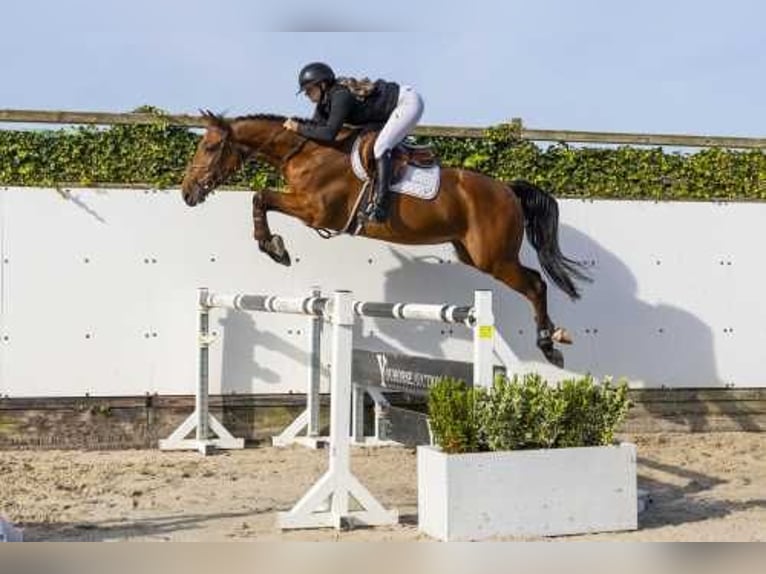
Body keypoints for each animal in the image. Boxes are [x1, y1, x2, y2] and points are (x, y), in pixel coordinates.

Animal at [183, 110, 592, 366]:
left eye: (209, 147)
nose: (187, 193)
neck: (307, 152)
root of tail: (507, 188)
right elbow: (260, 197)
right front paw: (272, 245)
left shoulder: (316, 210)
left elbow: (261, 196)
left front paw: (274, 247)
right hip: (472, 254)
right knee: (533, 282)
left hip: (495, 259)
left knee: (536, 284)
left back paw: (550, 345)